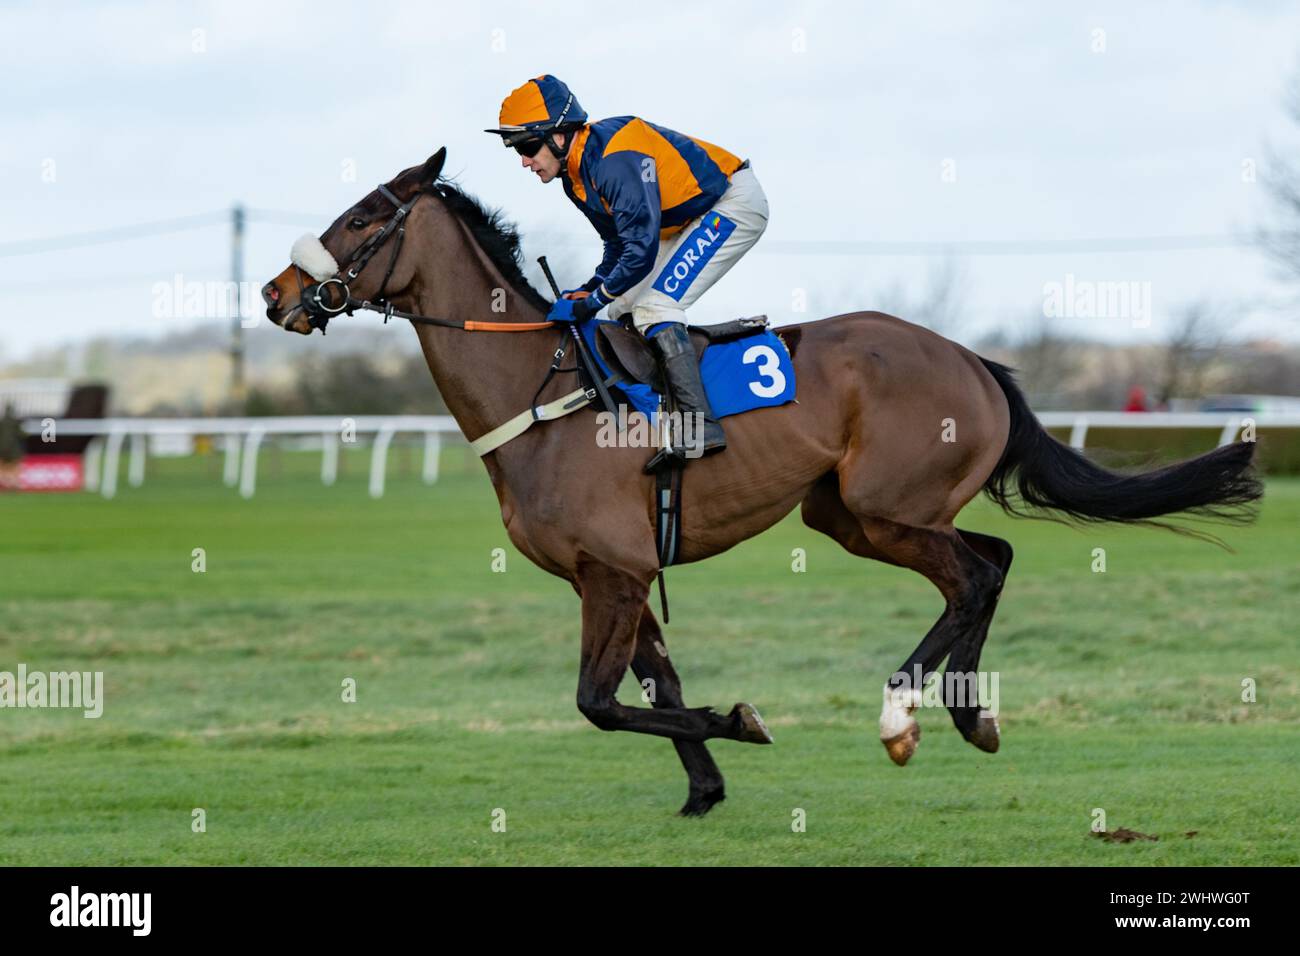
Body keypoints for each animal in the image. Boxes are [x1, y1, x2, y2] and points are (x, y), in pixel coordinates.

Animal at [258, 149, 1263, 816]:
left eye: (361, 217)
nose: (275, 295)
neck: (543, 395)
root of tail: (973, 358)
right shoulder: (614, 574)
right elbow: (654, 688)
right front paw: (706, 783)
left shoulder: (614, 570)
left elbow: (599, 702)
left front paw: (739, 722)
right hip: (855, 515)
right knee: (994, 558)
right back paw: (972, 713)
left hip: (886, 509)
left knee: (974, 574)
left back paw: (903, 715)